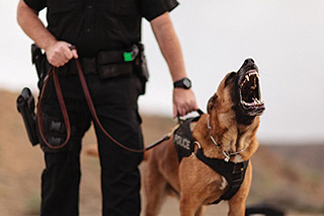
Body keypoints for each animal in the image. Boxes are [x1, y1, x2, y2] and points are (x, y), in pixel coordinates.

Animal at [143, 57, 264, 216]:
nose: (249, 60)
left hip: (200, 208)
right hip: (154, 201)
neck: (229, 150)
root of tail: (154, 150)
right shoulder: (188, 203)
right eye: (230, 77)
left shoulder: (237, 204)